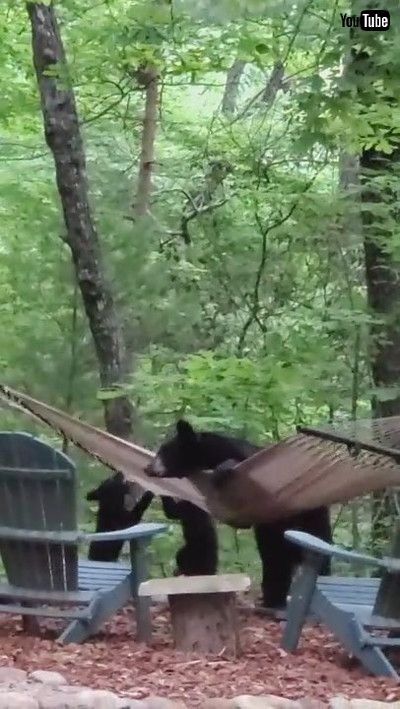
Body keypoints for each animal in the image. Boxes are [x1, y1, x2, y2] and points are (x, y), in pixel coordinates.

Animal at [86, 470, 218, 575]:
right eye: (112, 478)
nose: (119, 472)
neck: (109, 505)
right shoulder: (127, 520)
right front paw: (152, 491)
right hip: (187, 552)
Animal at [146, 418, 332, 610]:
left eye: (163, 451)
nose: (147, 468)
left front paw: (224, 468)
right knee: (274, 558)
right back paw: (273, 600)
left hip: (311, 517)